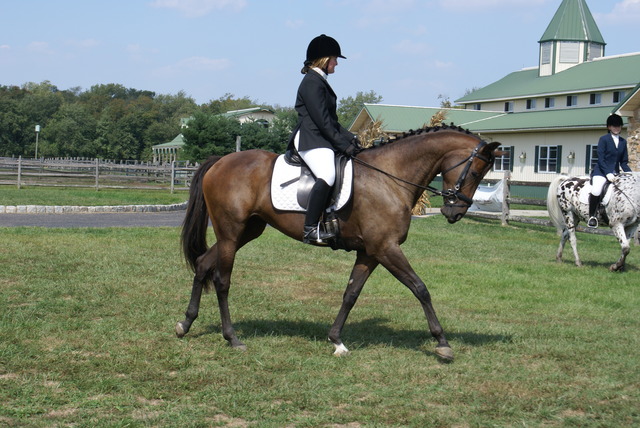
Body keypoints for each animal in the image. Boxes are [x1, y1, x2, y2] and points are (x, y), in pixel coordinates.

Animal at [176, 125, 503, 360]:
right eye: (476, 171)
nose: (454, 212)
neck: (390, 177)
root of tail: (220, 161)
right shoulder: (387, 248)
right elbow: (420, 288)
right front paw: (442, 343)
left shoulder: (370, 253)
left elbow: (351, 293)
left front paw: (336, 341)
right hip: (231, 233)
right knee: (222, 280)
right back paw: (232, 338)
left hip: (246, 232)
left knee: (203, 264)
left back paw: (185, 324)